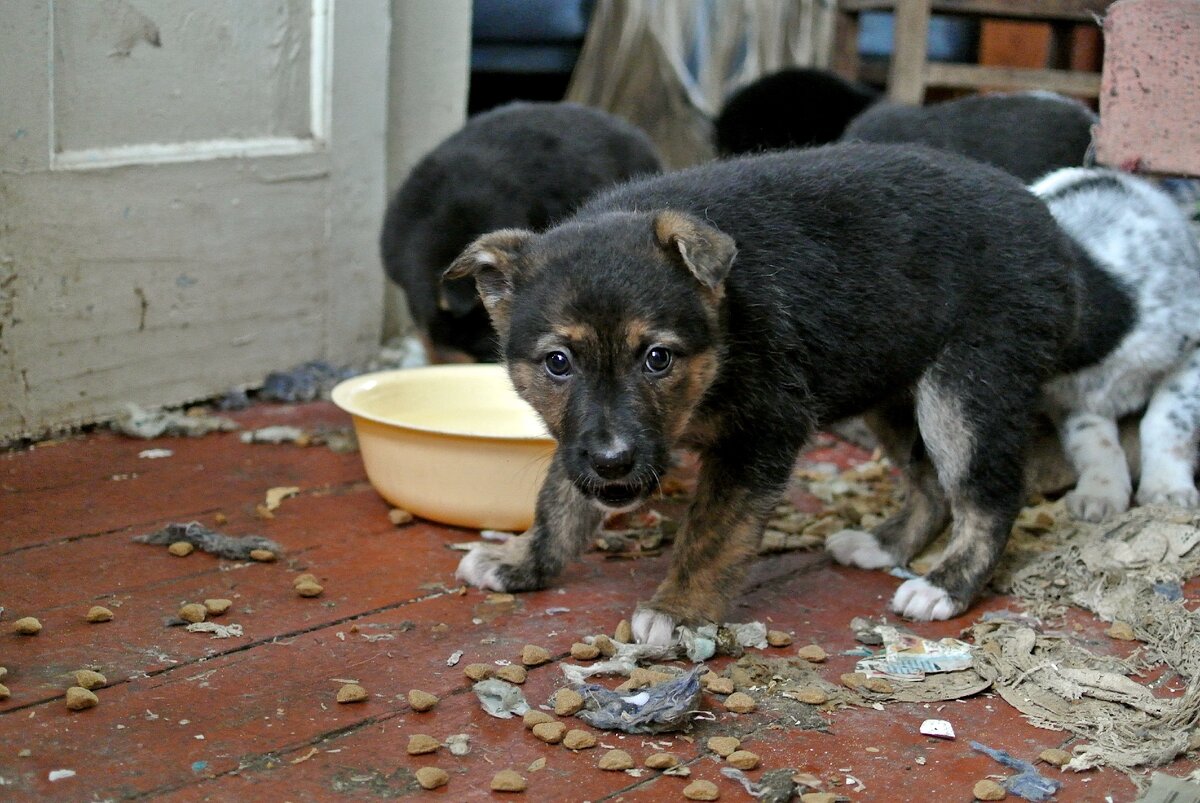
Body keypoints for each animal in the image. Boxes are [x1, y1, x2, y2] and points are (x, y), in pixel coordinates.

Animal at [444, 144, 1123, 643]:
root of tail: (1056, 235)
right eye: (557, 363)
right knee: (929, 483)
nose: (614, 463)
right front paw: (524, 561)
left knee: (989, 493)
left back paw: (947, 585)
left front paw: (679, 610)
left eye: (657, 359)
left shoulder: (762, 430)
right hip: (893, 386)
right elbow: (559, 498)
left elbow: (713, 533)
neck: (723, 330)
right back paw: (884, 544)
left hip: (966, 389)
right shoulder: (580, 436)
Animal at [1032, 168, 1200, 520]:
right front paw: (1099, 493)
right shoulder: (1068, 397)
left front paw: (1167, 489)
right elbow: (1091, 440)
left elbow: (1168, 418)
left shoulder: (1193, 354)